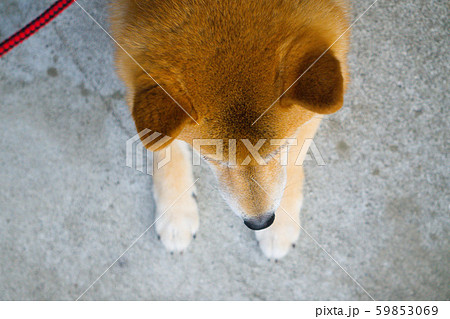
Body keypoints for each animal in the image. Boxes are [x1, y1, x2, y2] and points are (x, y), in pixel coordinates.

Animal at [110, 0, 350, 260]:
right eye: (210, 159)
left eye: (279, 150)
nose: (260, 222)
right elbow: (165, 150)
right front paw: (176, 212)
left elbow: (294, 160)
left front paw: (281, 224)